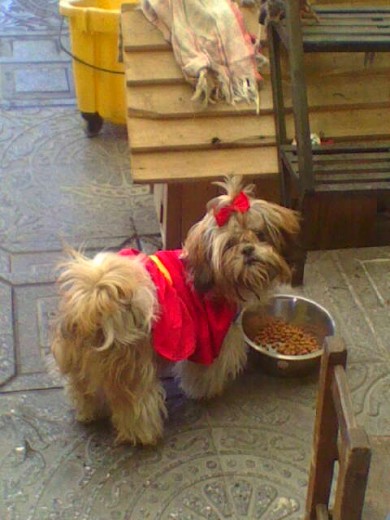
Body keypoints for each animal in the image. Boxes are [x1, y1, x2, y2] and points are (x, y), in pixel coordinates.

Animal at [51, 175, 302, 442]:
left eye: (259, 234)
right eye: (230, 244)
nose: (248, 250)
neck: (213, 278)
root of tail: (95, 298)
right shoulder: (212, 339)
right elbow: (205, 370)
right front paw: (206, 391)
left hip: (81, 366)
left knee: (83, 390)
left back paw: (88, 413)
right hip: (134, 369)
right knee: (137, 405)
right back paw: (144, 435)